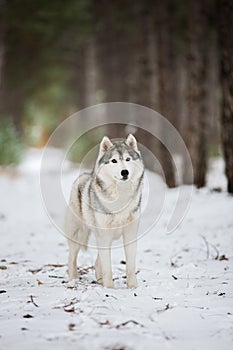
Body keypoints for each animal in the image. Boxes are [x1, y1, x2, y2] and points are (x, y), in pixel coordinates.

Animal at [64, 134, 143, 288]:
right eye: (114, 161)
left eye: (128, 159)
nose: (125, 172)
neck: (120, 197)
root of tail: (85, 175)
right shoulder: (104, 235)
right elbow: (107, 267)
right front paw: (109, 288)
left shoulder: (130, 234)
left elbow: (130, 266)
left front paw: (133, 287)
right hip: (79, 234)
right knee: (71, 257)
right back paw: (73, 280)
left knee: (97, 261)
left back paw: (99, 281)